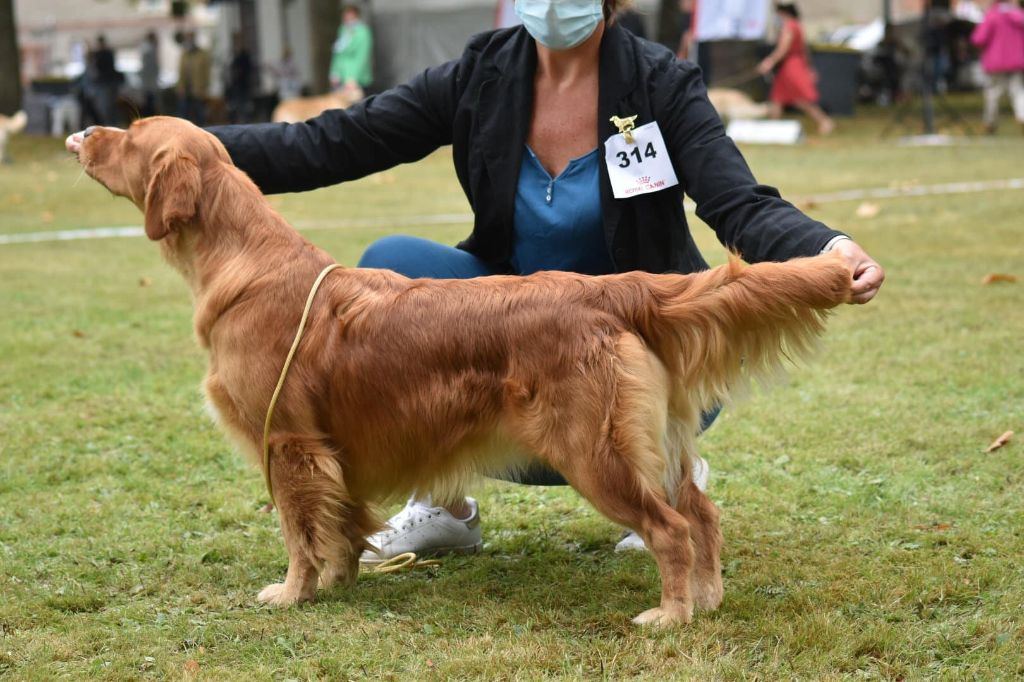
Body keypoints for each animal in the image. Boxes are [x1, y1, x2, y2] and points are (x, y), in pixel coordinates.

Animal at [75, 115, 851, 622]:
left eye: (131, 133)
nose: (82, 134)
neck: (245, 262)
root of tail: (609, 289)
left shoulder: (287, 442)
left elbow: (299, 531)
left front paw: (294, 593)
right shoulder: (331, 451)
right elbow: (340, 525)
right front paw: (343, 579)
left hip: (591, 452)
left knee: (671, 529)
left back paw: (671, 615)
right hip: (650, 445)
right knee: (703, 513)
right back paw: (709, 598)